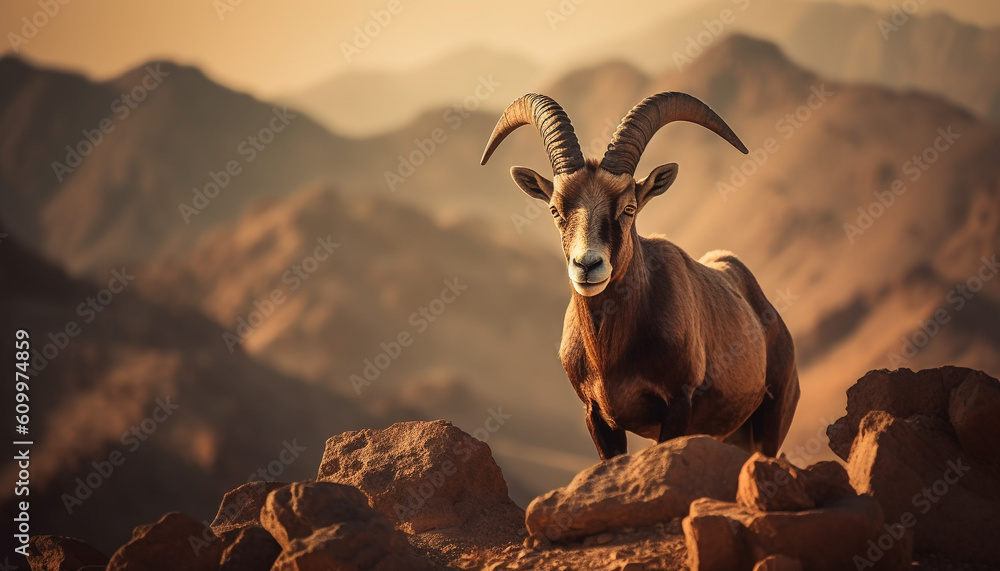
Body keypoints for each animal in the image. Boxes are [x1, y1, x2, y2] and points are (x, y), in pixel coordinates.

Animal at [480, 92, 800, 460]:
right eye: (555, 209)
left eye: (629, 208)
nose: (587, 266)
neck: (609, 357)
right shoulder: (597, 417)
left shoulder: (677, 404)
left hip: (771, 423)